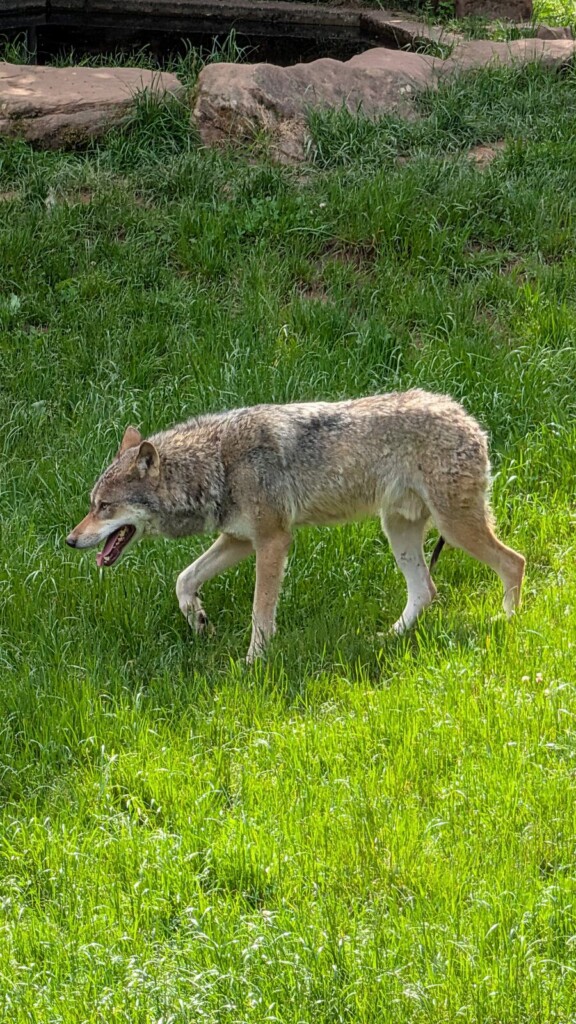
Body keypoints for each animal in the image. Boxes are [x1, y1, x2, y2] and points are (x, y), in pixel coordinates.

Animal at [66, 390, 525, 662]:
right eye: (92, 504)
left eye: (104, 507)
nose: (70, 540)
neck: (217, 464)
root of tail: (468, 417)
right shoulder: (238, 539)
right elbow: (183, 579)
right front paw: (198, 620)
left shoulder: (272, 541)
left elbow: (260, 613)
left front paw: (252, 664)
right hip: (399, 534)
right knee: (426, 591)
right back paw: (386, 639)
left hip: (455, 529)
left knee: (513, 563)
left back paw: (505, 623)